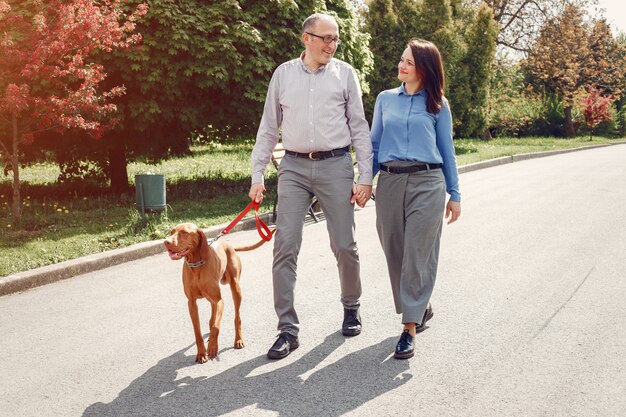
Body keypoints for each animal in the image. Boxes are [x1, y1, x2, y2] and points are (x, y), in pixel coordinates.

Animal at [163, 223, 270, 362]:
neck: (197, 265)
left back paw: (238, 340)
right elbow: (198, 332)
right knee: (212, 316)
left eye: (184, 233)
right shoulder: (191, 303)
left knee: (237, 318)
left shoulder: (220, 300)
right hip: (211, 298)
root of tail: (229, 245)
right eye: (171, 232)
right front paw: (201, 353)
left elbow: (216, 327)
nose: (166, 242)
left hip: (236, 289)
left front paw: (213, 347)